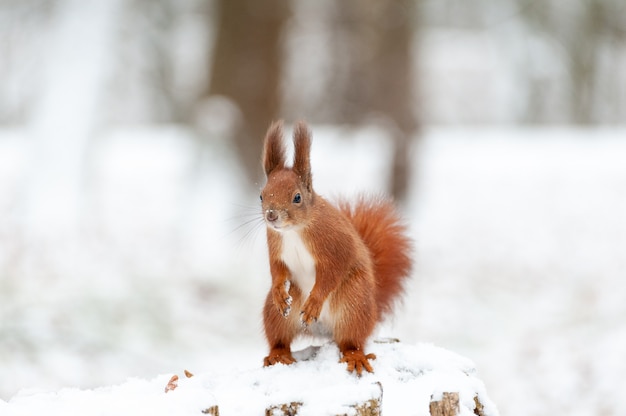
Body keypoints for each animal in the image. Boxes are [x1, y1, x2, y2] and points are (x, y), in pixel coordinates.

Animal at [258, 121, 410, 376]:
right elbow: (277, 270)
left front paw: (314, 303)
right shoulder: (275, 245)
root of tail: (324, 331)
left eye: (297, 197)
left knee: (350, 341)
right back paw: (278, 354)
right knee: (280, 339)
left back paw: (355, 356)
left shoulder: (334, 246)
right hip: (277, 314)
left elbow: (331, 274)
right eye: (261, 195)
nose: (271, 216)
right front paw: (280, 292)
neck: (294, 231)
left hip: (353, 303)